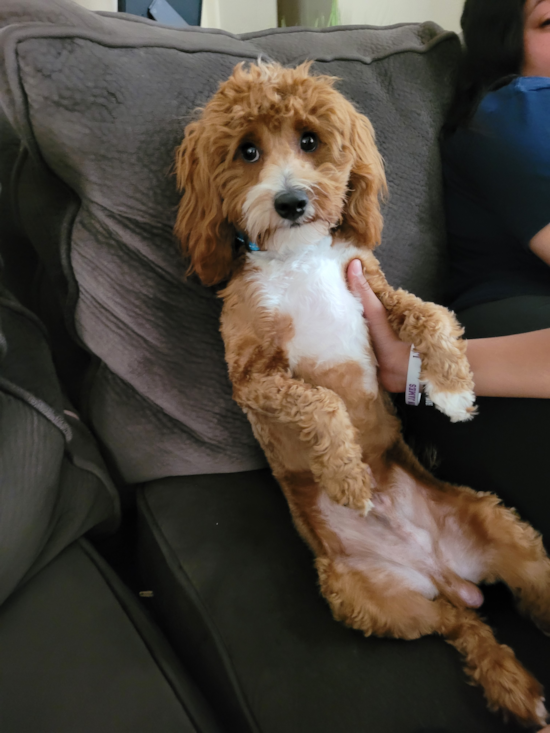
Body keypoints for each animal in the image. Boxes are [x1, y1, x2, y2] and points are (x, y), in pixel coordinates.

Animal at [176, 60, 550, 724]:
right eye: (247, 151)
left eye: (309, 140)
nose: (291, 200)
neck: (300, 258)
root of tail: (439, 569)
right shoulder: (251, 377)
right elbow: (320, 401)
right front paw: (348, 477)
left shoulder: (372, 285)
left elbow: (430, 314)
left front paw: (452, 387)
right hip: (376, 603)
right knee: (464, 630)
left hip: (514, 538)